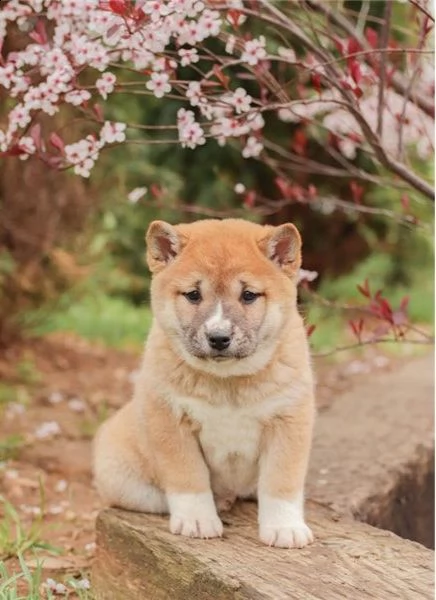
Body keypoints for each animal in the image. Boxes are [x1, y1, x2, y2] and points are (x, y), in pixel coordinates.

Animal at [93, 219, 316, 548]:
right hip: (120, 476)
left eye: (249, 295)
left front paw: (285, 527)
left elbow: (281, 483)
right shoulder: (171, 422)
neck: (228, 382)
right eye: (193, 295)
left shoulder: (288, 421)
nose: (219, 337)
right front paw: (198, 520)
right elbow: (189, 478)